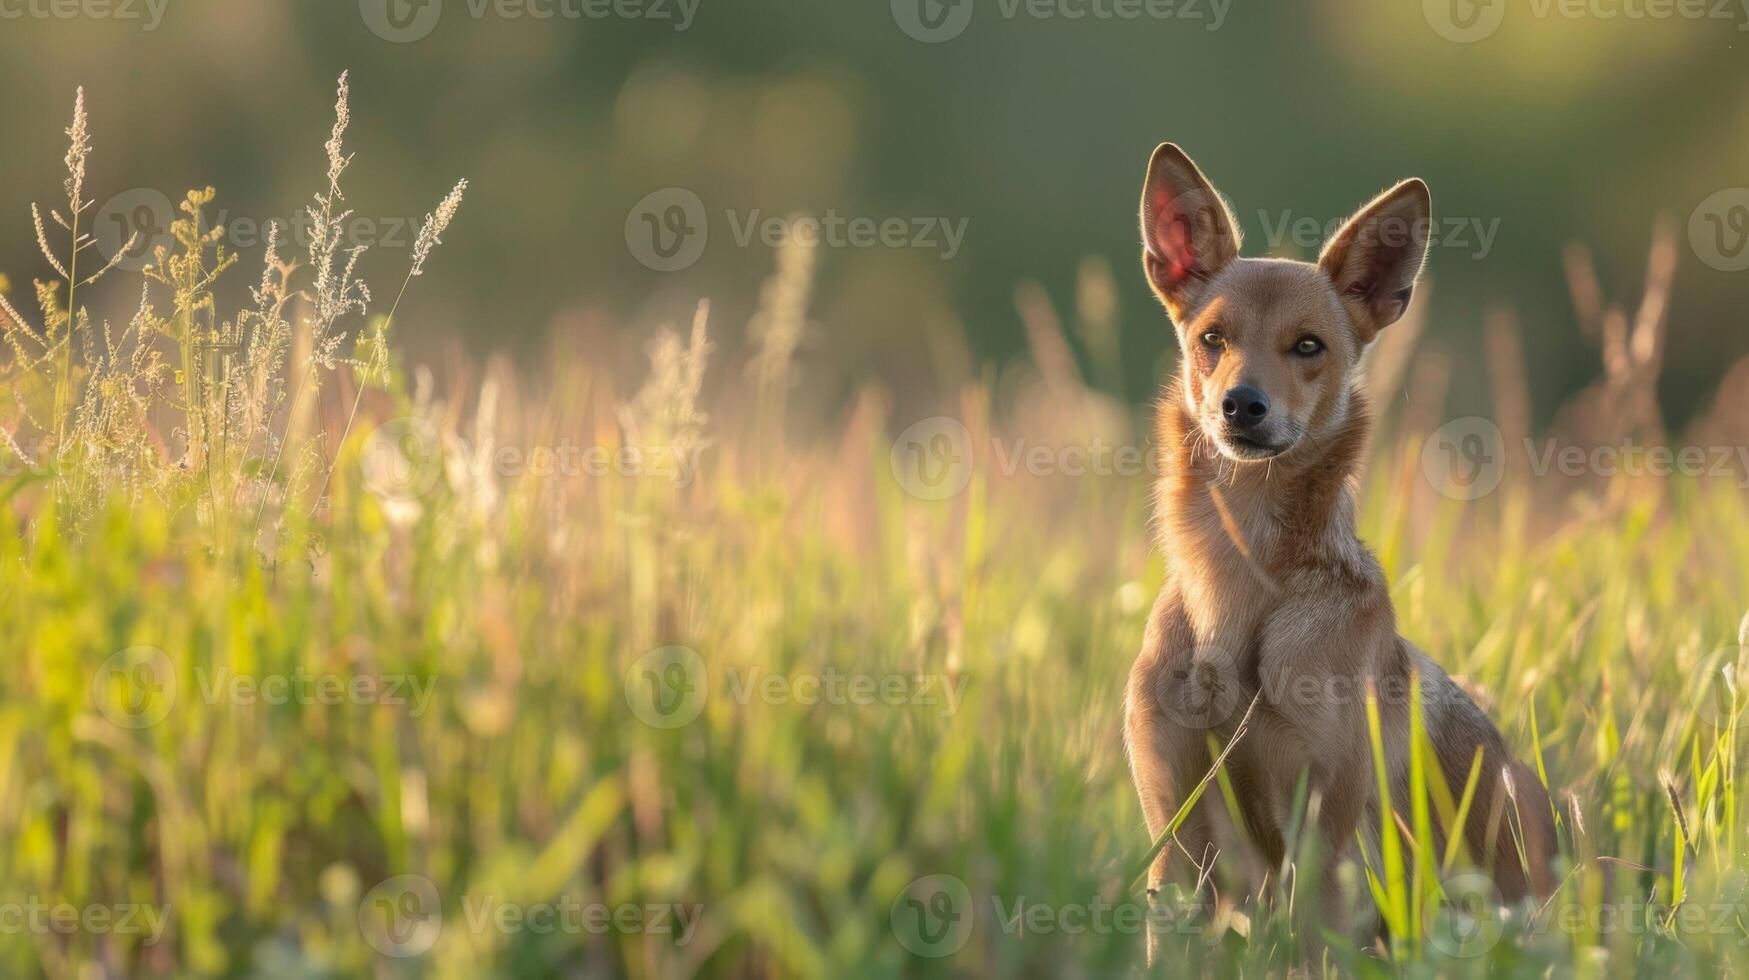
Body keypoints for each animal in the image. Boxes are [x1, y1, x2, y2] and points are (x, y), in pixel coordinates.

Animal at [1126, 143, 1553, 952]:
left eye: (1308, 346)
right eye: (1212, 339)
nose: (1241, 405)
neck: (1238, 586)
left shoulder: (1323, 840)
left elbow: (1308, 947)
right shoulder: (1177, 836)